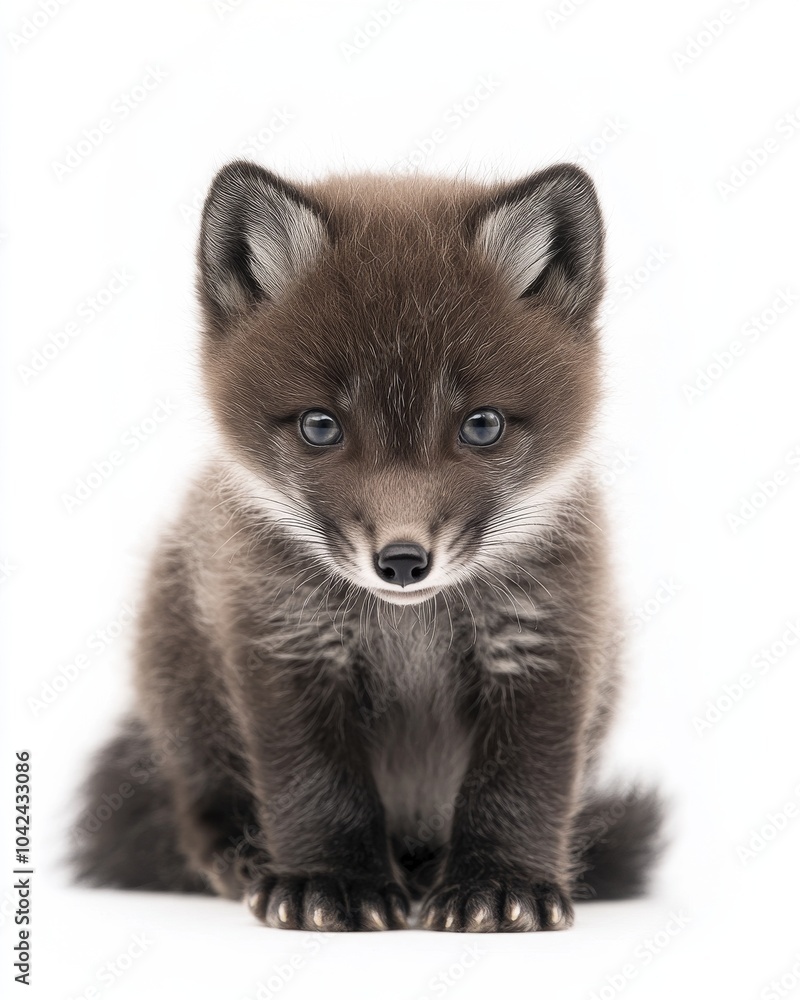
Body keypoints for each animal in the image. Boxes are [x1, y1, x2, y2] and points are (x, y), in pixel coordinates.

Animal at [71, 160, 662, 932]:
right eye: (321, 426)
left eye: (482, 426)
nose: (403, 561)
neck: (409, 627)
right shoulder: (282, 638)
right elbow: (318, 786)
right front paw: (328, 883)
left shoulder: (547, 638)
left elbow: (520, 789)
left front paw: (502, 885)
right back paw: (248, 859)